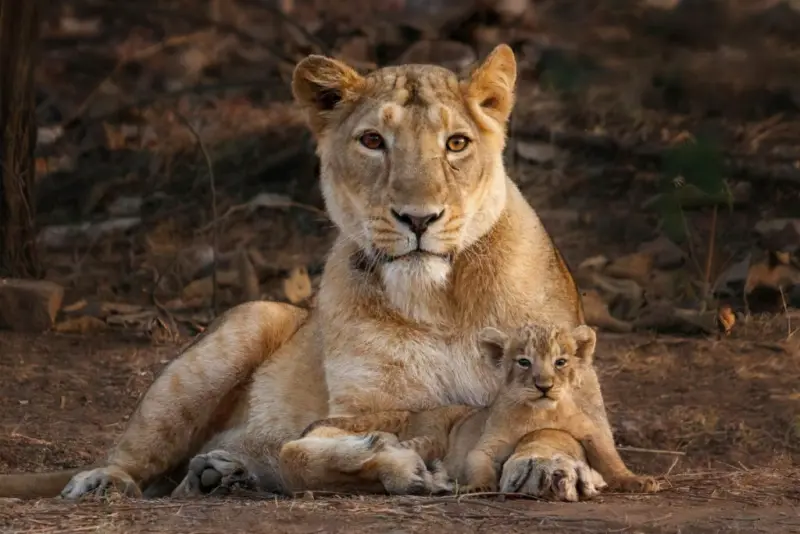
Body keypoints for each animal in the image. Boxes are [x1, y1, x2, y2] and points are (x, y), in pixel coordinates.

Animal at [0, 44, 610, 502]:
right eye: (372, 141)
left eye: (456, 143)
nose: (418, 219)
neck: (441, 301)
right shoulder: (361, 411)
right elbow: (298, 455)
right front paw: (391, 462)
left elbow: (555, 424)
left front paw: (547, 466)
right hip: (245, 324)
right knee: (140, 455)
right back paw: (117, 480)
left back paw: (221, 473)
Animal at [293, 323, 658, 498]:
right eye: (523, 362)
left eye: (560, 361)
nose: (543, 385)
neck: (542, 413)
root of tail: (417, 412)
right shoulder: (488, 442)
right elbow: (479, 460)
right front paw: (479, 487)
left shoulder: (589, 431)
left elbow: (610, 458)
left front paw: (636, 481)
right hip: (430, 436)